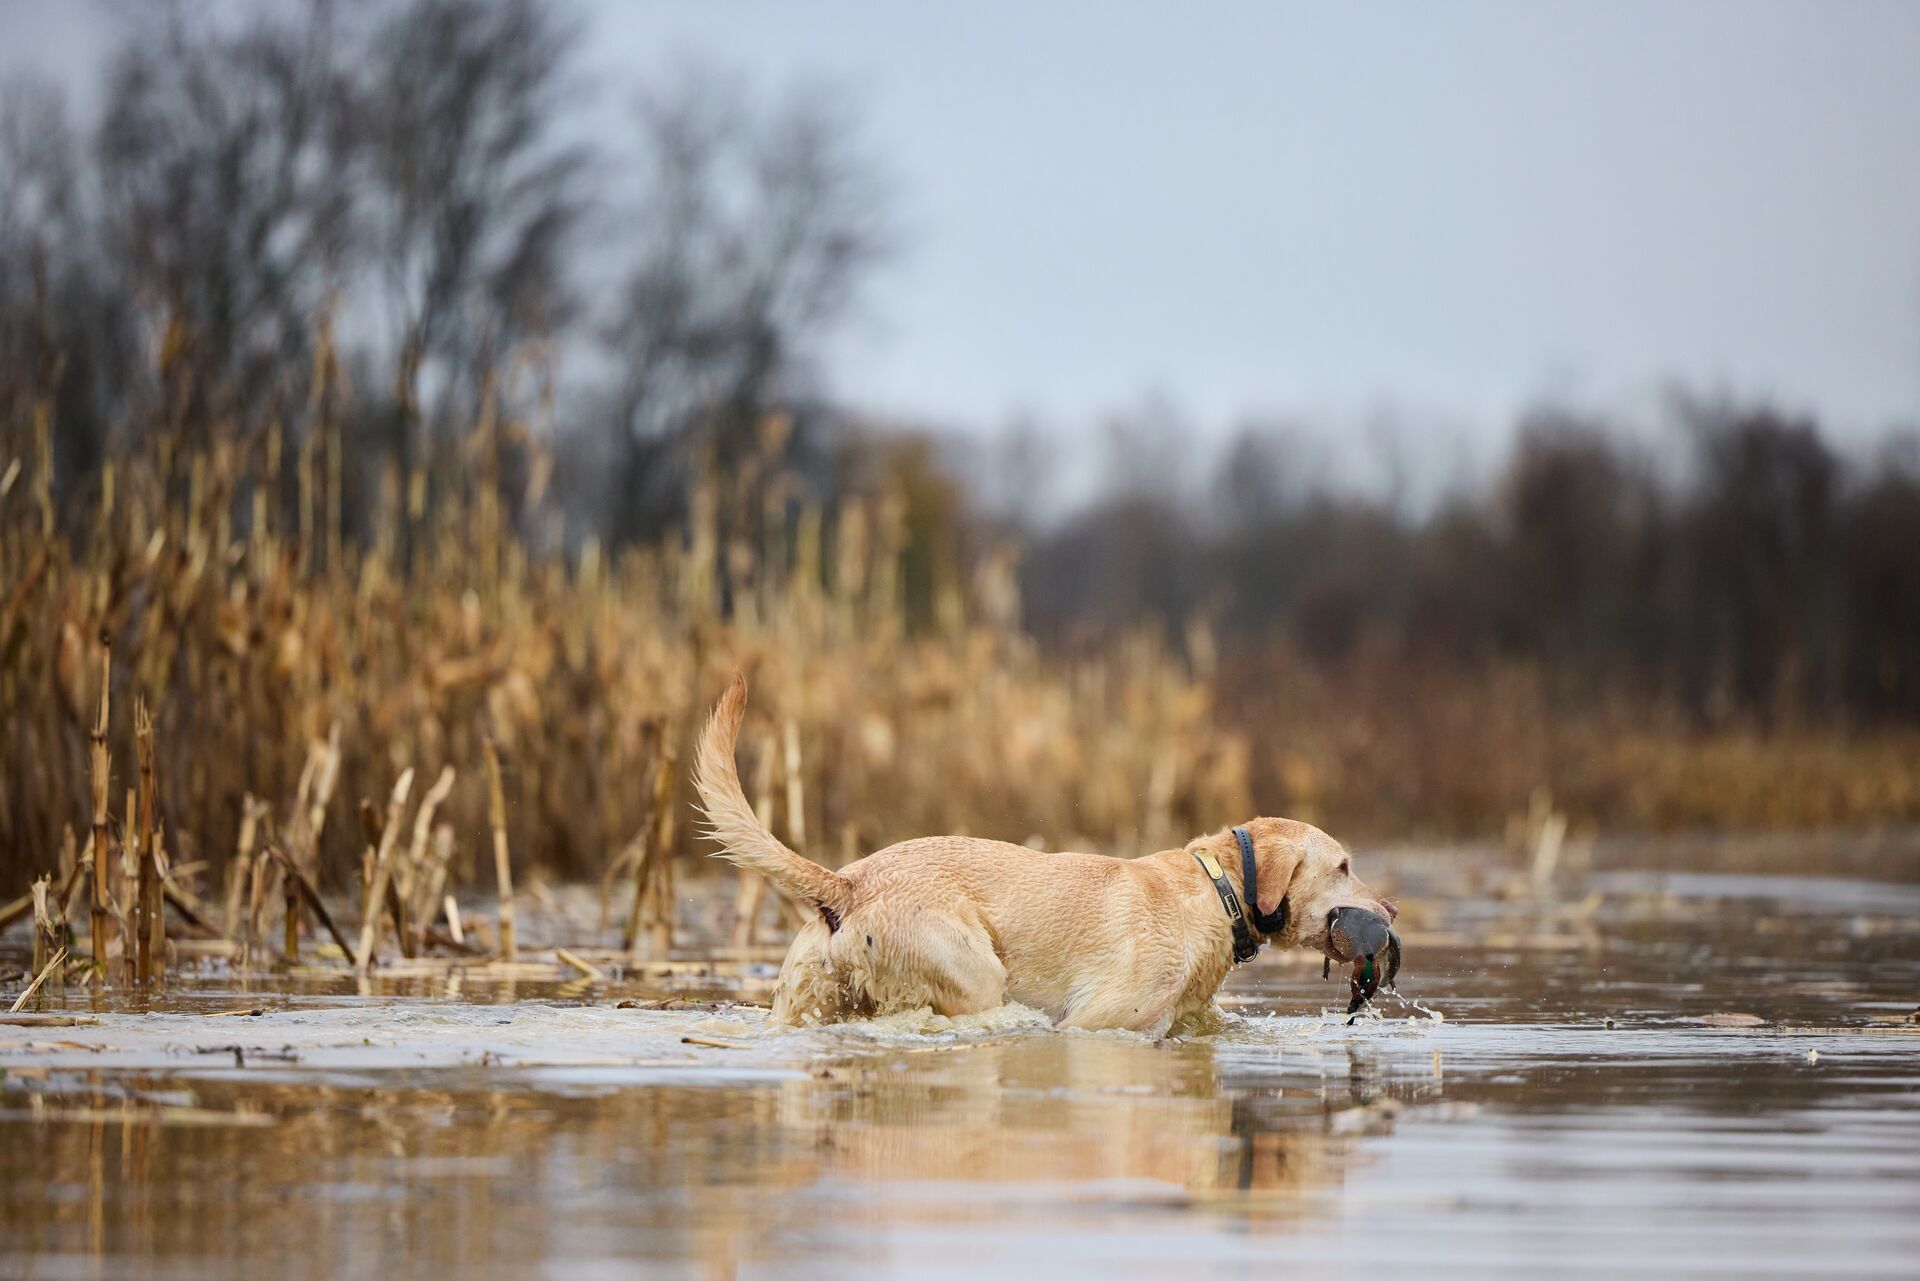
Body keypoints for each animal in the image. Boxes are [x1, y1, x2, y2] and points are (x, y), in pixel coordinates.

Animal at [691, 676, 1397, 1037]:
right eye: (1343, 866)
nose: (1389, 911)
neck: (1213, 891)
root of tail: (846, 882)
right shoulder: (1099, 1022)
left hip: (799, 998)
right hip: (976, 973)